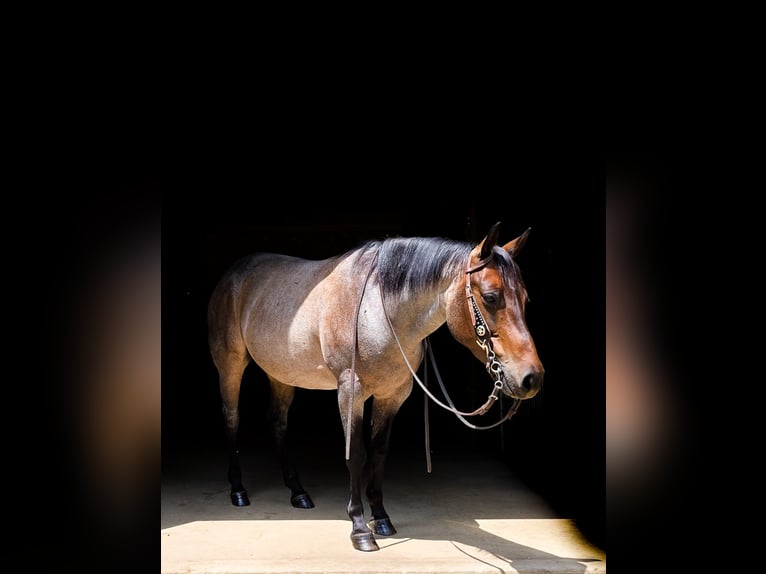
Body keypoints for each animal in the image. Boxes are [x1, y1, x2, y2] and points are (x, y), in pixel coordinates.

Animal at [207, 221, 544, 551]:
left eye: (525, 299)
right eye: (491, 297)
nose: (532, 378)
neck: (381, 312)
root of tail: (233, 274)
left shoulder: (392, 396)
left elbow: (379, 452)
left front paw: (381, 518)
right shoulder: (350, 393)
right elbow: (355, 453)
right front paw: (359, 529)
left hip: (282, 374)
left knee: (277, 423)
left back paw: (297, 492)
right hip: (231, 366)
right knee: (231, 418)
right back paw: (238, 490)